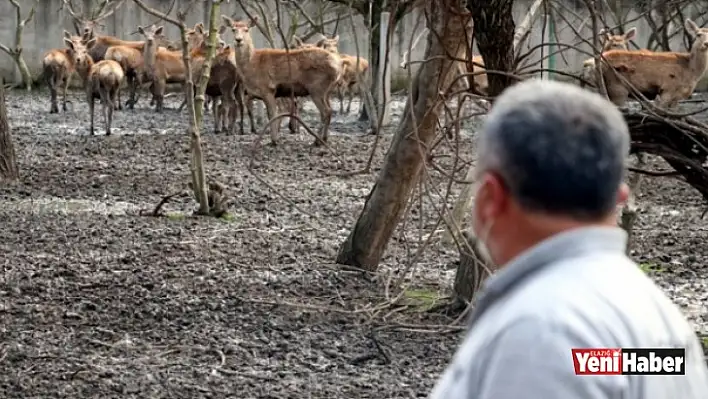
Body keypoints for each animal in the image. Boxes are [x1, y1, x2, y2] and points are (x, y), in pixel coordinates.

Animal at [221, 16, 342, 147]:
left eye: (246, 29)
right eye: (233, 29)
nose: (238, 40)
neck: (252, 65)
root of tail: (337, 66)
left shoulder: (267, 89)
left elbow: (272, 114)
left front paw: (274, 140)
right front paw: (275, 138)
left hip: (317, 87)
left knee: (325, 111)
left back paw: (317, 141)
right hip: (326, 90)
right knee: (329, 110)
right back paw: (324, 138)